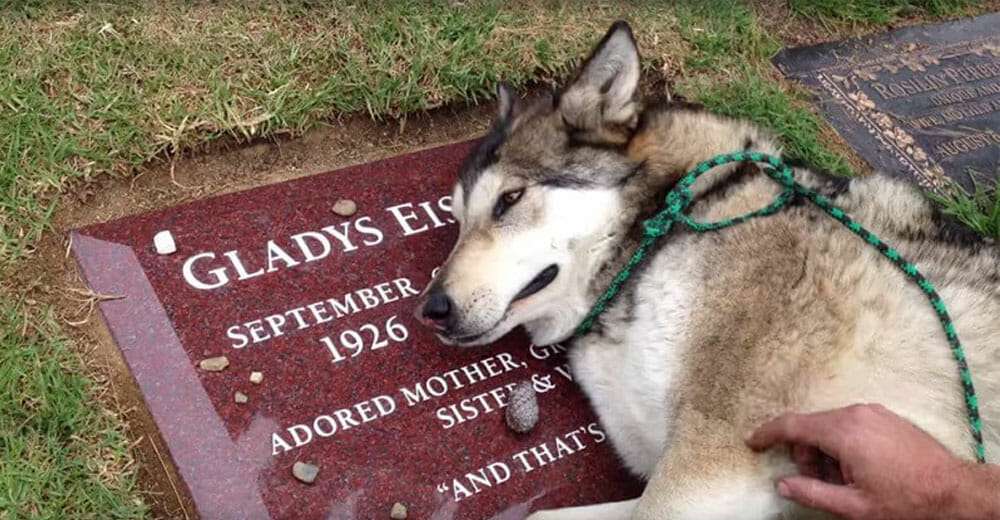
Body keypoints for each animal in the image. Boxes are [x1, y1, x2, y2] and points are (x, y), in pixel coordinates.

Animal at [410, 21, 996, 520]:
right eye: (456, 220)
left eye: (509, 199)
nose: (430, 310)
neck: (656, 239)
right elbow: (539, 513)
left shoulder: (706, 469)